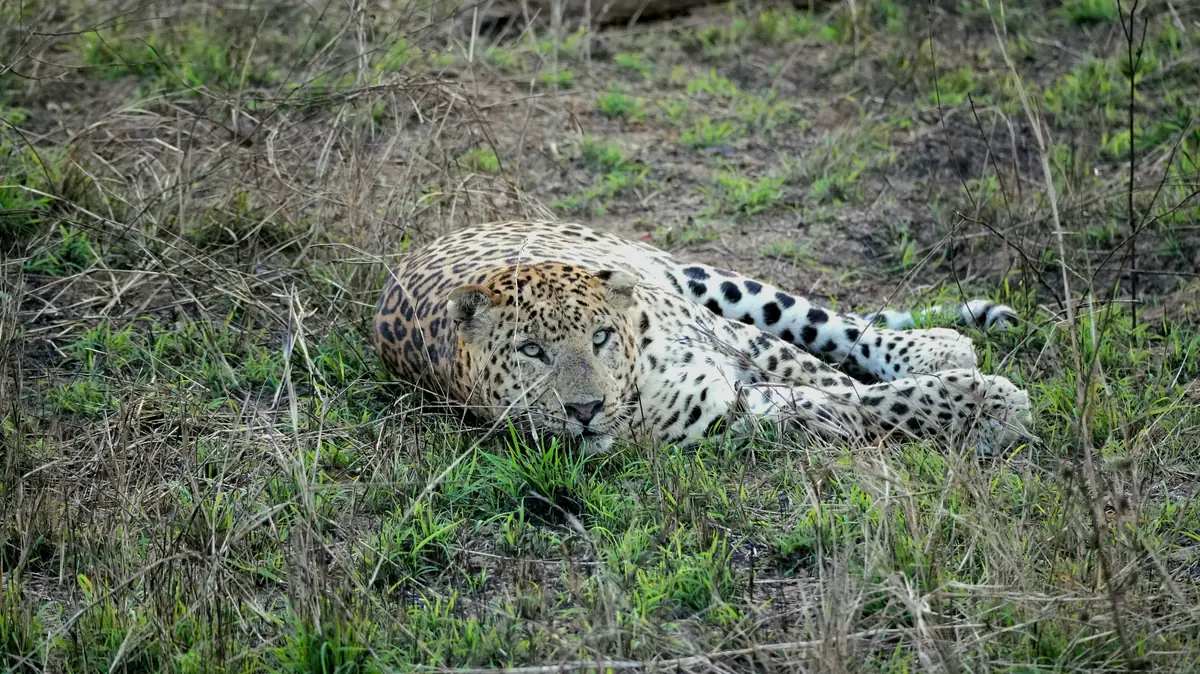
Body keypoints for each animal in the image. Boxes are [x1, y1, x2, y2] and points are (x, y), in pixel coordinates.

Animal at [374, 220, 1033, 454]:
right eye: (531, 352)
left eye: (600, 337)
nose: (585, 411)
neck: (639, 382)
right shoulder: (728, 407)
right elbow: (860, 403)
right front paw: (990, 404)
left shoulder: (735, 340)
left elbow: (828, 374)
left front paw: (979, 395)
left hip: (712, 287)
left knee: (822, 322)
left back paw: (936, 345)